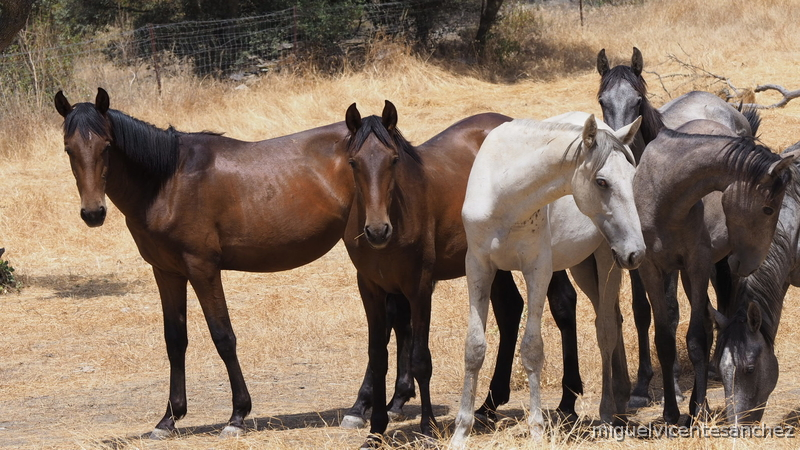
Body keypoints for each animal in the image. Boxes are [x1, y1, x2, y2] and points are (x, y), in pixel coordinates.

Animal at [54, 88, 358, 438]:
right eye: (68, 149)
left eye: (106, 146)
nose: (93, 213)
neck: (168, 182)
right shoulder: (167, 273)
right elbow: (175, 340)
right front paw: (168, 419)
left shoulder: (203, 269)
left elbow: (223, 336)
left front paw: (237, 416)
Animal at [340, 101, 524, 447]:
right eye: (353, 162)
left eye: (394, 159)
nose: (377, 230)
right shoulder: (370, 289)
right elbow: (378, 357)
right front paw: (376, 430)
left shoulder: (419, 288)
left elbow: (420, 359)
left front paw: (428, 428)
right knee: (510, 310)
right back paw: (489, 405)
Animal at [451, 113, 645, 448]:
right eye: (601, 181)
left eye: (632, 178)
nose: (637, 252)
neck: (506, 197)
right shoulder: (478, 267)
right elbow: (474, 347)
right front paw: (461, 431)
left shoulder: (538, 270)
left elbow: (532, 349)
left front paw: (537, 430)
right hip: (584, 267)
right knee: (613, 320)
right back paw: (619, 402)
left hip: (607, 259)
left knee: (606, 328)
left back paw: (608, 412)